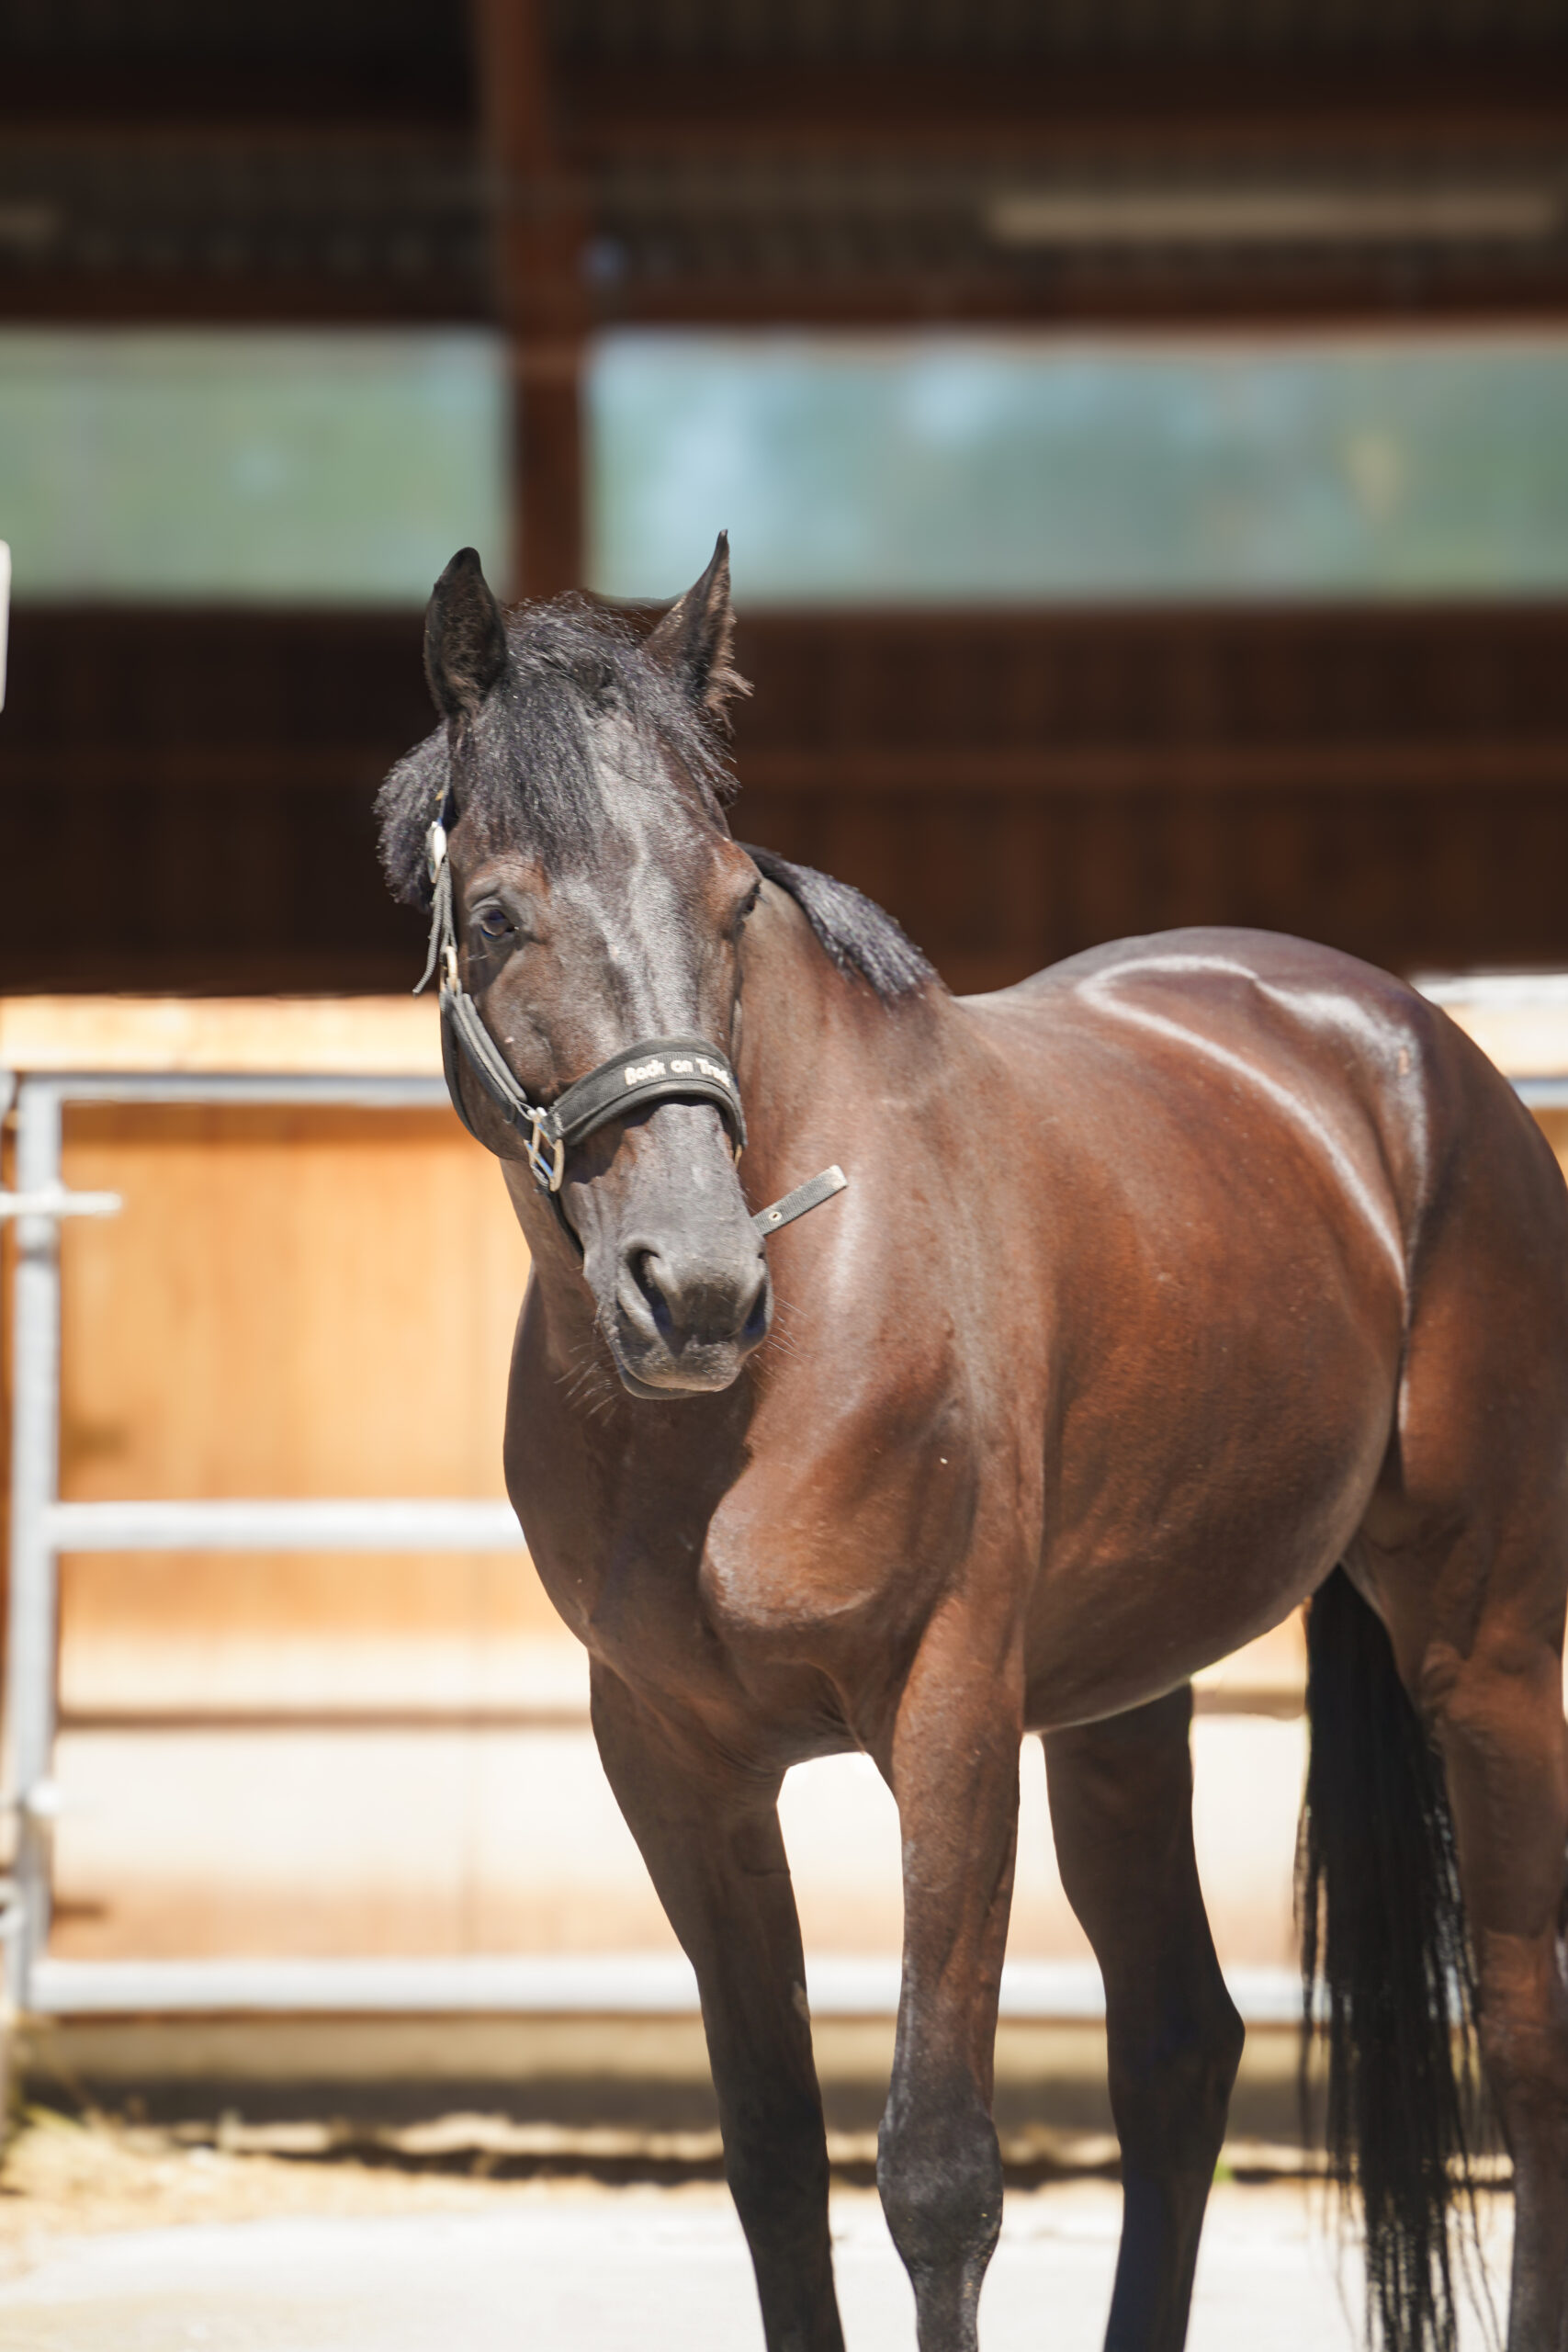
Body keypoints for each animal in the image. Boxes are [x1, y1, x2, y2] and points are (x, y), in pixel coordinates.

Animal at [377, 536, 1568, 2352]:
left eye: (731, 901)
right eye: (498, 912)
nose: (695, 1289)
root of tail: (1417, 1055)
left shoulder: (947, 1722)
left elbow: (935, 2172)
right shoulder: (677, 1766)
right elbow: (772, 2160)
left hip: (1485, 1660)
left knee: (1520, 2042)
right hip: (1126, 1700)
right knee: (1181, 2049)